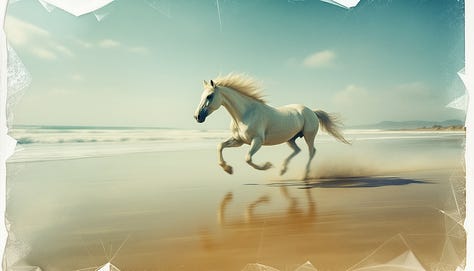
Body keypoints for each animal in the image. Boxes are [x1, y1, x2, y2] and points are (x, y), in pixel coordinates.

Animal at [194, 74, 350, 181]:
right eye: (202, 96)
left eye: (209, 96)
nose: (197, 117)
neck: (245, 113)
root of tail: (311, 111)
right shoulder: (239, 141)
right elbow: (220, 146)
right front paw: (228, 169)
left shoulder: (257, 141)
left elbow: (248, 159)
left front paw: (267, 166)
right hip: (290, 139)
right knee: (297, 150)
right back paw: (282, 170)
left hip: (309, 136)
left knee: (311, 152)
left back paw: (304, 175)